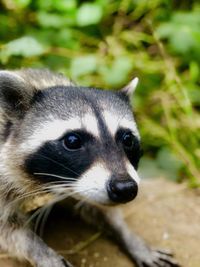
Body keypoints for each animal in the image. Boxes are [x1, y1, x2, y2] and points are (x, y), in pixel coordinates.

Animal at [0, 69, 180, 267]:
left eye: (128, 139)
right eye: (72, 141)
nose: (125, 188)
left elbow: (98, 207)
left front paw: (129, 236)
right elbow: (9, 229)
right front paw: (42, 253)